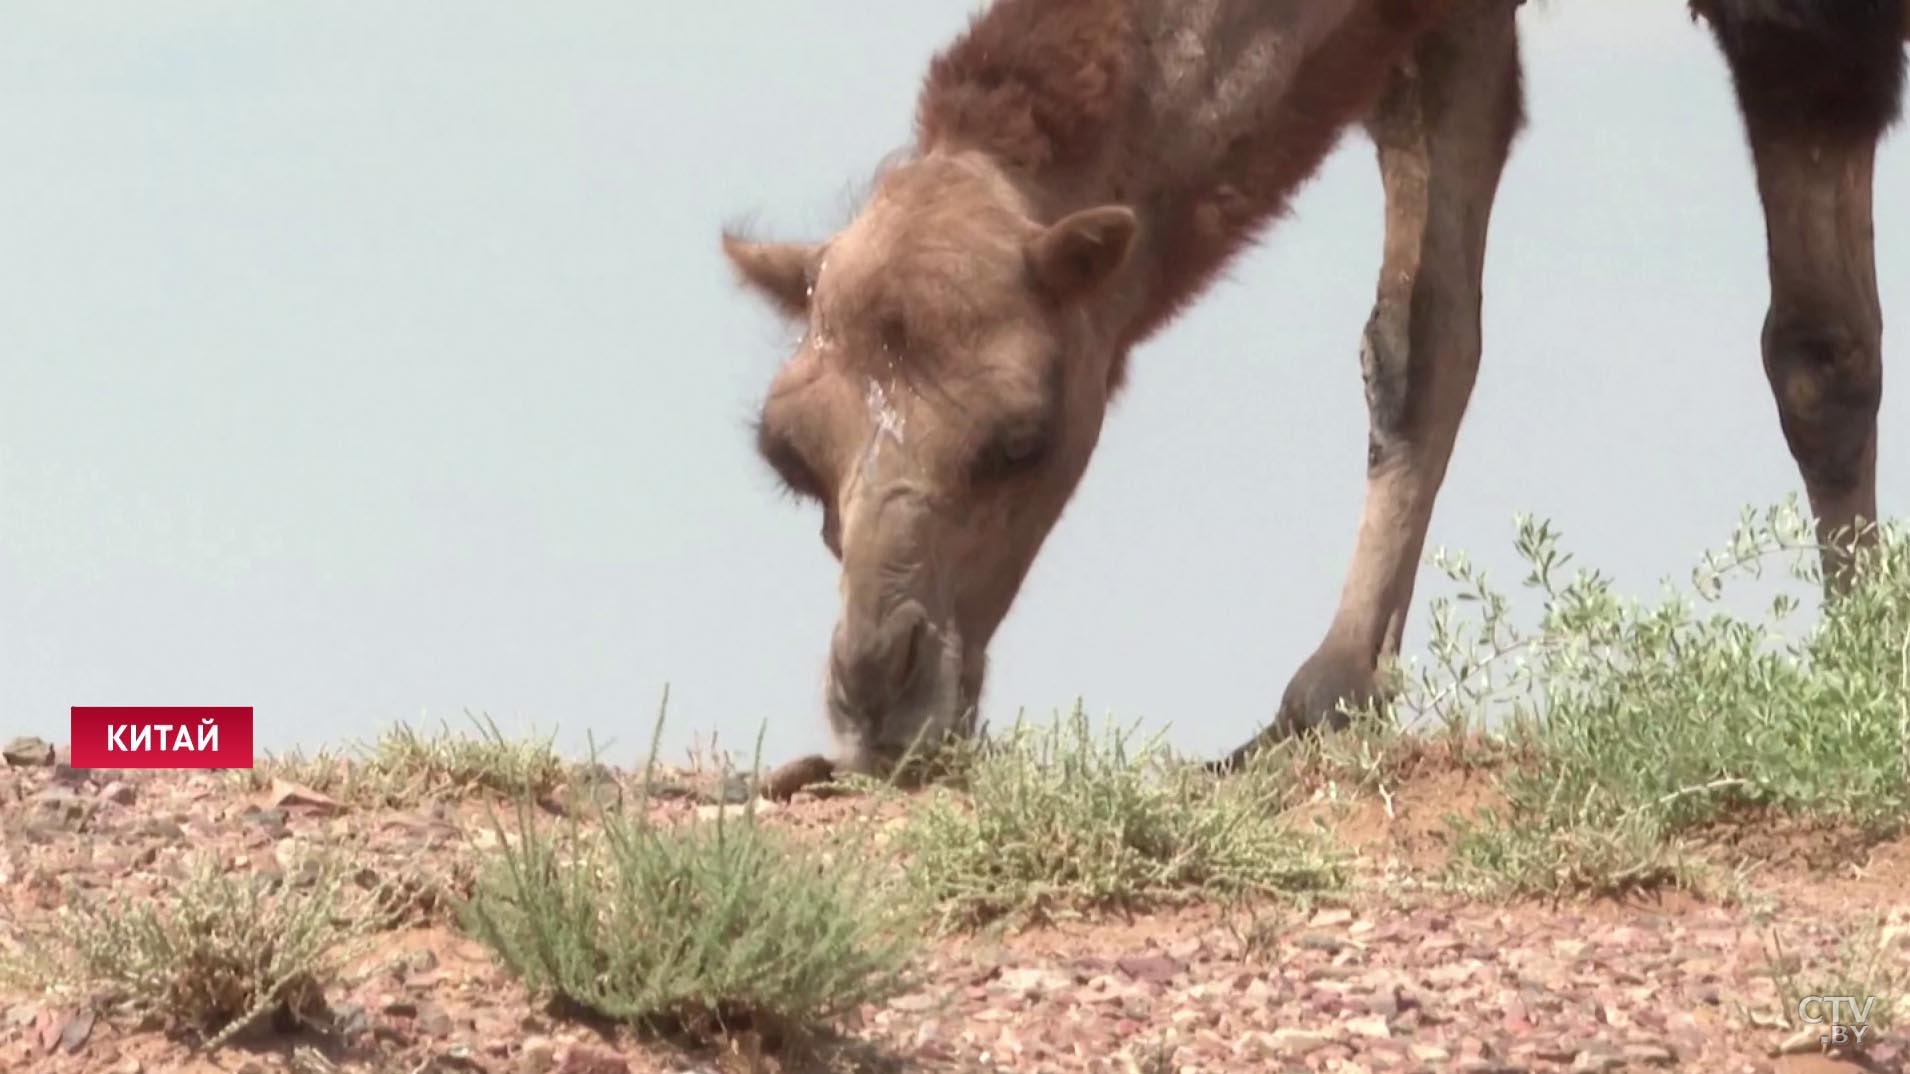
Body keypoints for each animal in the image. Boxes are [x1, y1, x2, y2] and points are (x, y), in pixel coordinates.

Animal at [721, 0, 1902, 787]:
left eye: (1025, 436)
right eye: (788, 453)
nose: (878, 694)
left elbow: (1817, 348)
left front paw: (1857, 668)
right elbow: (1418, 341)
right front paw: (1326, 700)